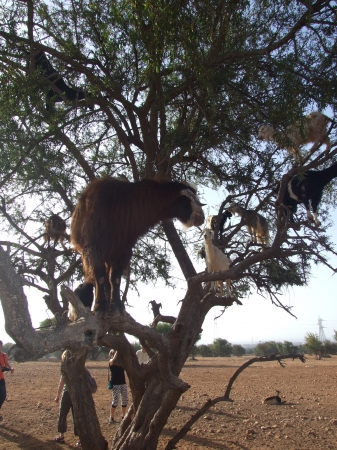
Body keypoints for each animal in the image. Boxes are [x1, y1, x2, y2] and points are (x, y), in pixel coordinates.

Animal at [69, 176, 203, 312]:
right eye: (186, 201)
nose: (201, 218)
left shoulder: (122, 250)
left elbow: (115, 278)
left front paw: (117, 305)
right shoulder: (93, 247)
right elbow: (100, 276)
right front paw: (100, 306)